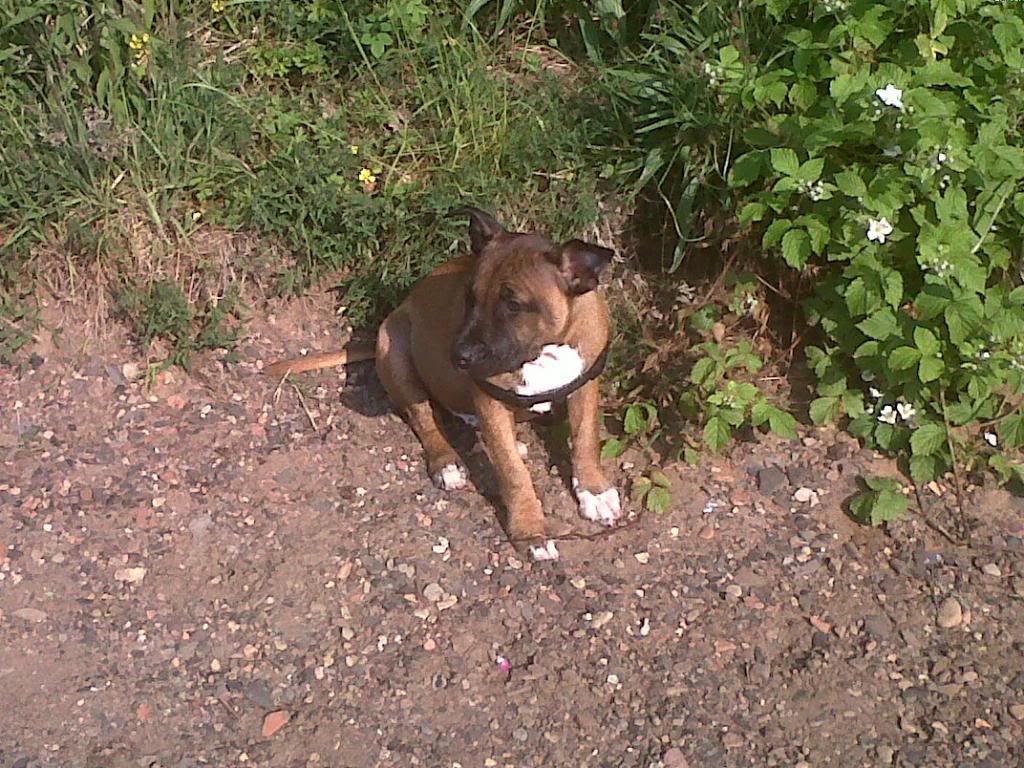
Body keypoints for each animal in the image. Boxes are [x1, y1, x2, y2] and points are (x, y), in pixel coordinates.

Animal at [268, 207, 618, 561]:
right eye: (470, 297)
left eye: (514, 305)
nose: (458, 356)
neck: (546, 351)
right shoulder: (489, 400)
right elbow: (514, 473)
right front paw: (530, 531)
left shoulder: (585, 385)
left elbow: (585, 438)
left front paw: (594, 491)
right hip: (395, 353)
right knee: (424, 418)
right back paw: (447, 462)